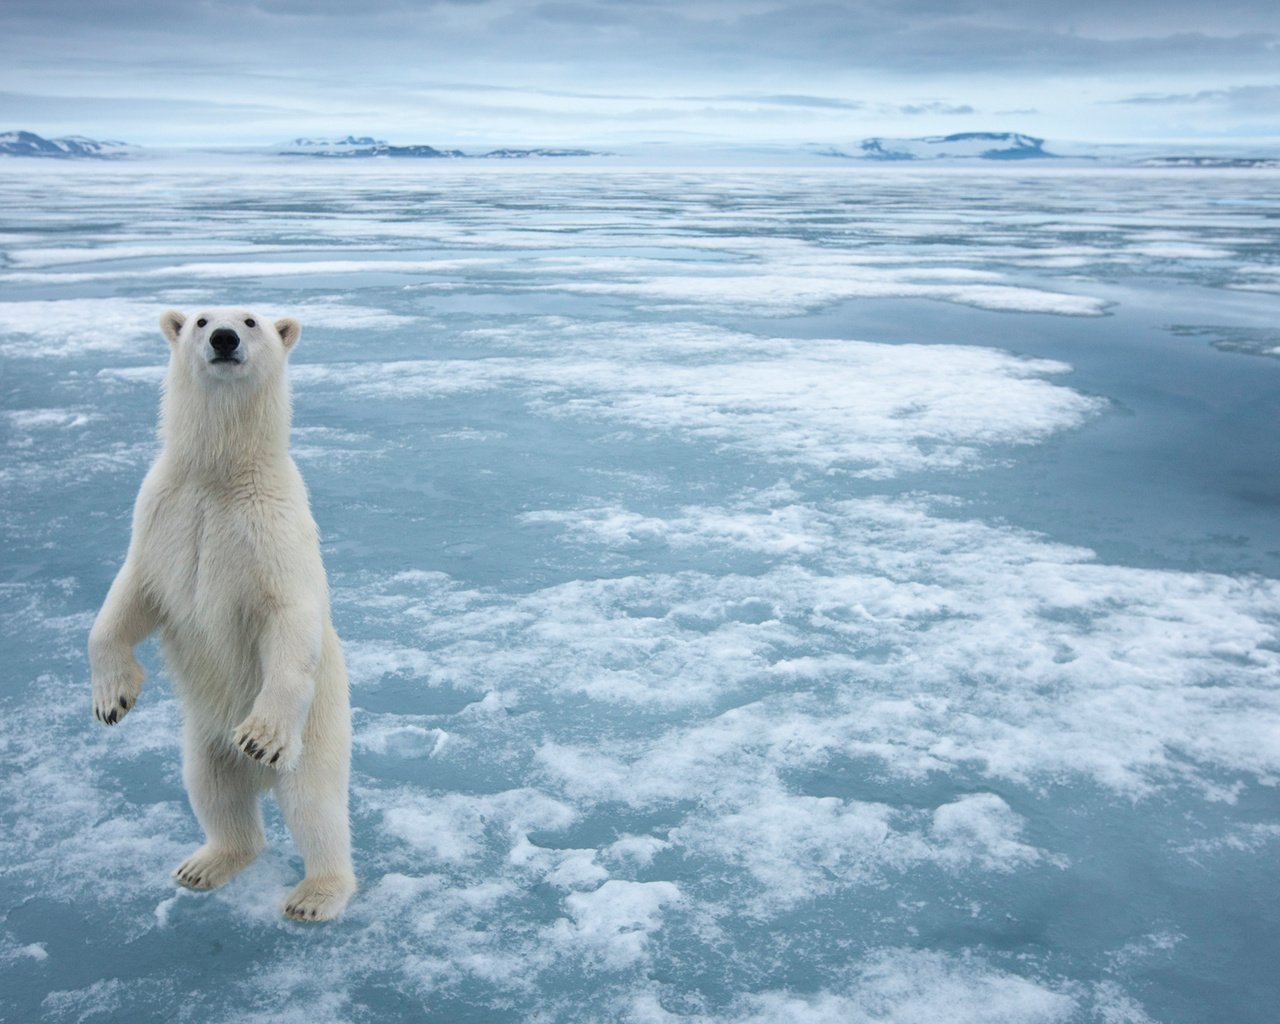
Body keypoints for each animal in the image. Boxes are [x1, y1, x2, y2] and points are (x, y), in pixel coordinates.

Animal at [88, 305, 355, 921]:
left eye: (252, 320)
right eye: (201, 319)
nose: (225, 339)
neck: (219, 475)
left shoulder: (272, 529)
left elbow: (289, 616)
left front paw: (260, 735)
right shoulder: (162, 514)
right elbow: (129, 598)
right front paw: (113, 699)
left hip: (319, 729)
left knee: (314, 806)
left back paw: (315, 894)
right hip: (203, 738)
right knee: (213, 791)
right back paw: (205, 864)